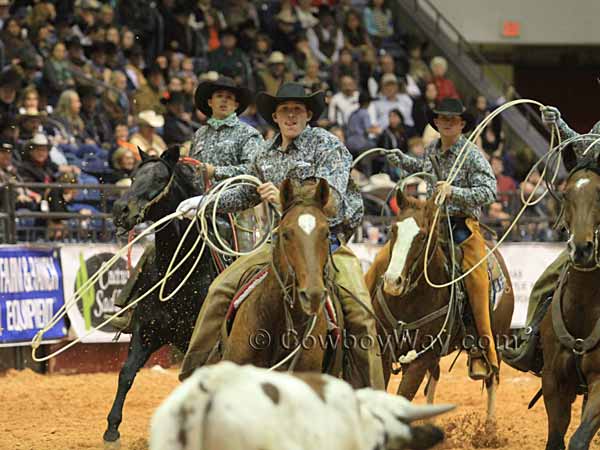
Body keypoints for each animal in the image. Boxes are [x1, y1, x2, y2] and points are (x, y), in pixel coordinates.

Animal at [106, 147, 223, 442]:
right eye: (132, 176)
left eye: (159, 179)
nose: (121, 209)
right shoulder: (146, 331)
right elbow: (126, 373)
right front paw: (112, 428)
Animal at [366, 187, 516, 426]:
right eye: (392, 229)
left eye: (422, 236)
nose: (392, 281)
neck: (407, 302)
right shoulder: (384, 349)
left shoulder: (422, 357)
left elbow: (403, 395)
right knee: (434, 378)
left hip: (496, 338)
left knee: (493, 377)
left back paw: (489, 429)